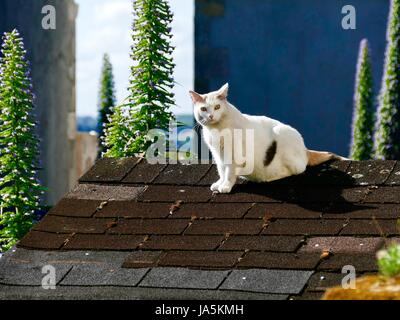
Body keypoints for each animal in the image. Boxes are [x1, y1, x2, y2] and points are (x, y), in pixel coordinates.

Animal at [189, 82, 346, 194]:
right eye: (203, 109)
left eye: (217, 107)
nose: (211, 116)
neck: (217, 131)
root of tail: (305, 148)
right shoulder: (218, 154)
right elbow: (222, 170)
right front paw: (219, 183)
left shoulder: (234, 155)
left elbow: (229, 172)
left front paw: (226, 186)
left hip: (283, 134)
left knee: (297, 170)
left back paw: (269, 177)